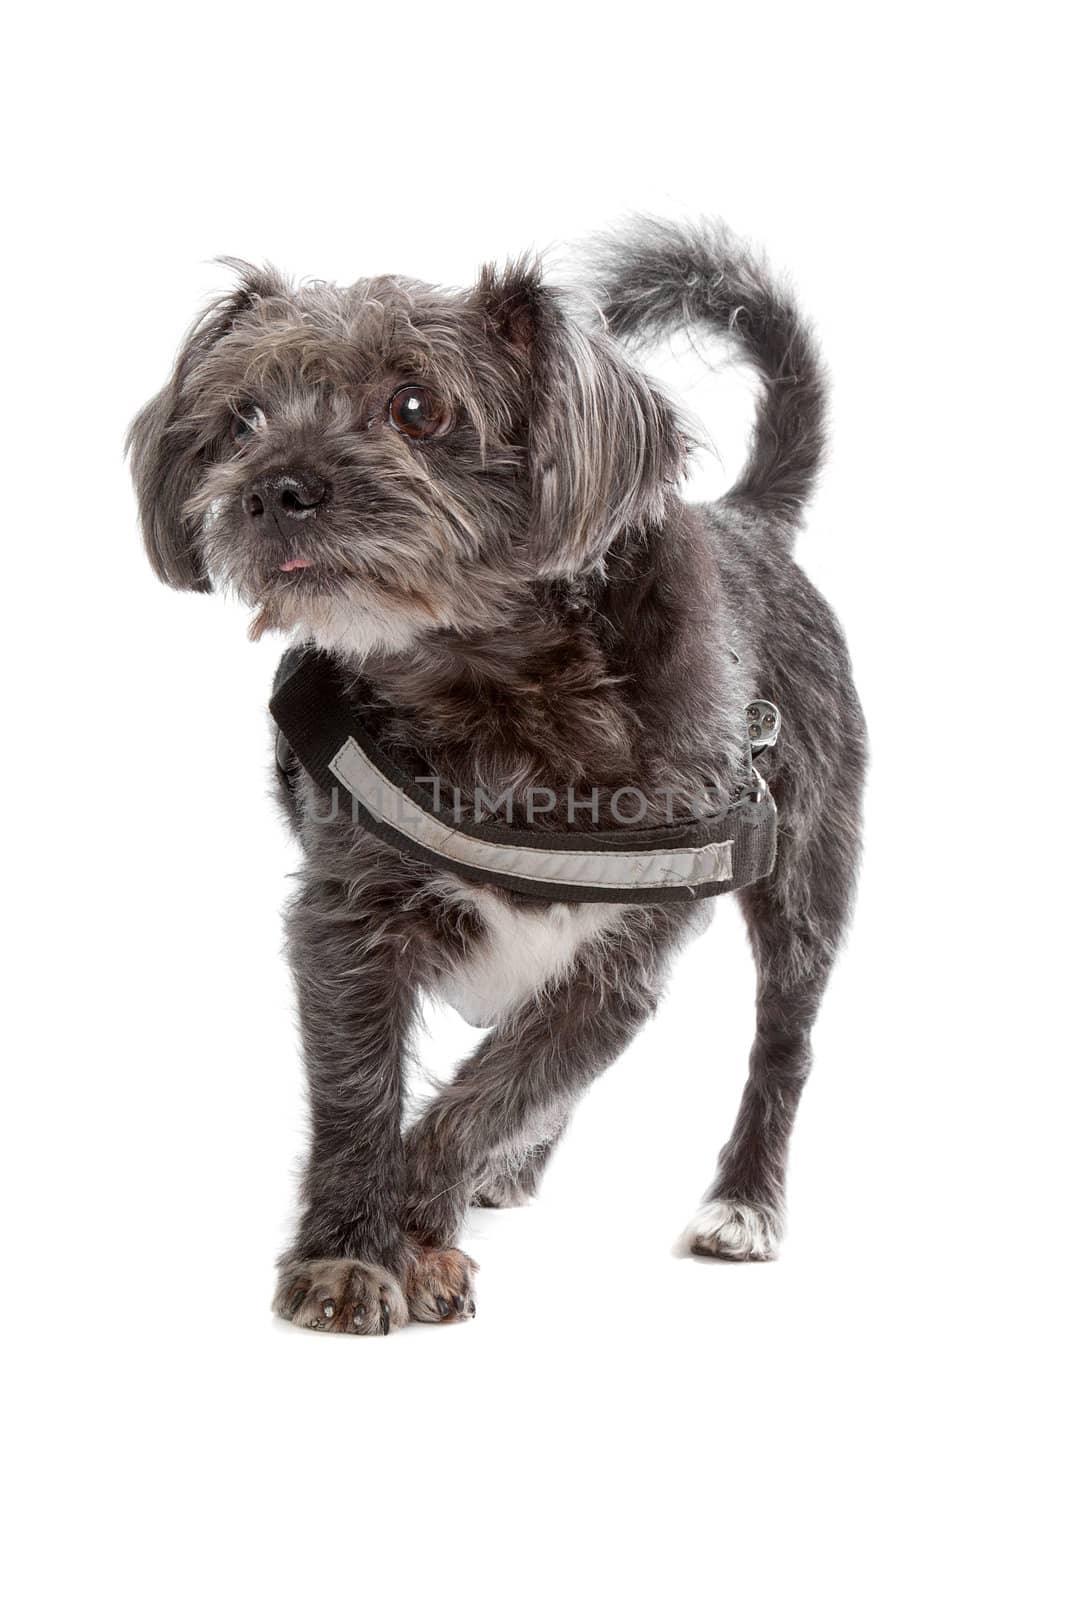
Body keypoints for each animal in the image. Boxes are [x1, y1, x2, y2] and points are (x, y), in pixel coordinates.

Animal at [129, 219, 863, 1331]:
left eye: (417, 406)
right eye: (241, 419)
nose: (271, 490)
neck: (498, 689)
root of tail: (750, 520)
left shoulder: (617, 965)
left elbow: (493, 1094)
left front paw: (416, 1227)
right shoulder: (346, 931)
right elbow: (362, 1100)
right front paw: (351, 1254)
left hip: (805, 890)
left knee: (781, 1044)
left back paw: (743, 1200)